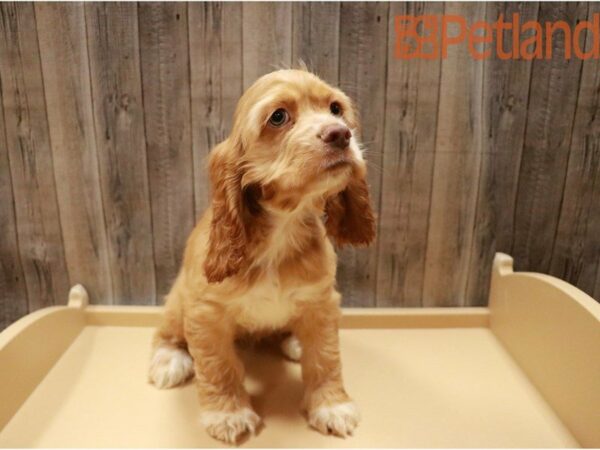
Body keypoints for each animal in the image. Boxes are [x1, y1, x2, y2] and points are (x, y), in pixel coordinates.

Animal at [149, 69, 376, 442]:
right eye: (278, 117)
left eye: (336, 109)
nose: (341, 134)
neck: (281, 230)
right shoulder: (205, 313)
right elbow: (218, 366)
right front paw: (228, 414)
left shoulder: (322, 301)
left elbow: (326, 356)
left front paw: (332, 405)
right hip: (177, 302)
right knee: (166, 331)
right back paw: (168, 359)